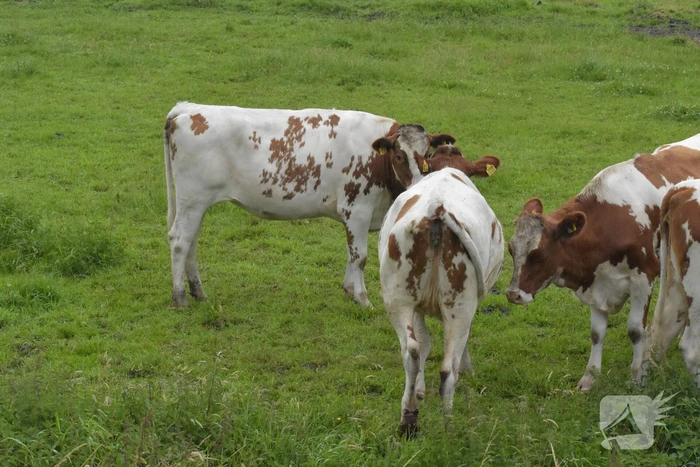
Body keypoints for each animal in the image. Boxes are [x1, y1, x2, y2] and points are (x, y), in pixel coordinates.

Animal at [164, 102, 498, 308]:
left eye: (427, 154)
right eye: (399, 155)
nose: (417, 184)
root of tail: (188, 109)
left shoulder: (354, 215)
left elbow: (351, 254)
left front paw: (349, 291)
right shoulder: (357, 209)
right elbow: (360, 255)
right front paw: (362, 298)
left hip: (196, 203)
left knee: (191, 243)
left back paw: (198, 292)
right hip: (193, 199)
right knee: (179, 241)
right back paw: (180, 297)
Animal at [378, 166, 504, 435]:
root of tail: (436, 208)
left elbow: (423, 343)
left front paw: (419, 391)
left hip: (398, 300)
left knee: (413, 352)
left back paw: (410, 418)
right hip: (459, 306)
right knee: (447, 366)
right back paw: (448, 427)